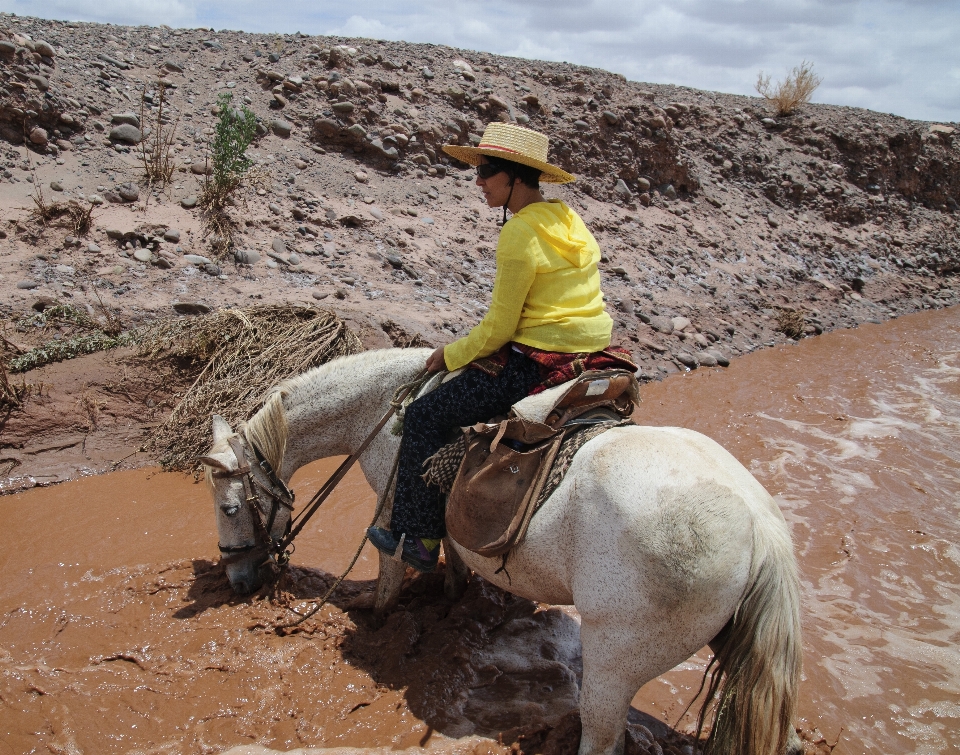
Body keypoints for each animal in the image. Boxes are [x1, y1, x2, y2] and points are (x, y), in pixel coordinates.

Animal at [202, 352, 804, 755]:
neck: (387, 408)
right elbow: (453, 555)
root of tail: (761, 526)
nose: (239, 581)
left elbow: (390, 572)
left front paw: (376, 624)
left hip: (616, 659)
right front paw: (450, 600)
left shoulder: (391, 503)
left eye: (229, 507)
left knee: (601, 736)